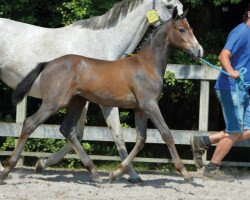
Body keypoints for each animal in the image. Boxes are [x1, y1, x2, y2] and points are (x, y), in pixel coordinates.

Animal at [0, 7, 203, 183]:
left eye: (191, 29)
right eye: (181, 29)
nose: (199, 50)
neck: (147, 65)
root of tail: (48, 63)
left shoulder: (140, 109)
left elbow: (141, 140)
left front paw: (116, 173)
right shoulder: (150, 105)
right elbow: (166, 134)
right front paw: (185, 173)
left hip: (77, 103)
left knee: (67, 130)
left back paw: (94, 172)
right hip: (53, 103)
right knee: (29, 124)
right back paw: (7, 169)